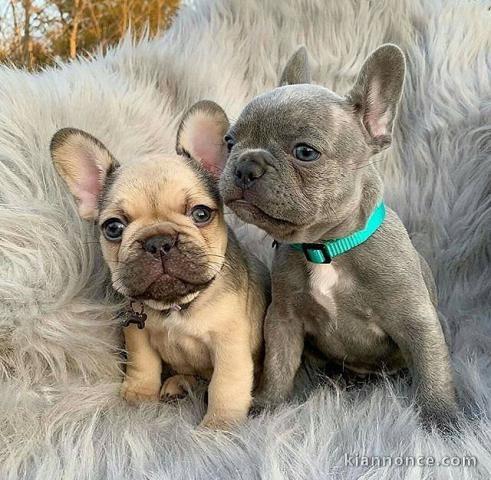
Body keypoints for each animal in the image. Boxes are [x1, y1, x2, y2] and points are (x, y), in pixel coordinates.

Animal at [51, 100, 270, 428]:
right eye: (113, 228)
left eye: (201, 214)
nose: (159, 242)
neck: (176, 307)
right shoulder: (137, 335)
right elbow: (143, 364)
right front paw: (139, 396)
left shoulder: (230, 347)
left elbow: (225, 385)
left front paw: (219, 426)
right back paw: (178, 384)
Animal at [214, 45, 458, 428]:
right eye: (229, 142)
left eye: (305, 152)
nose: (245, 165)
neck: (326, 246)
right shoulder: (283, 320)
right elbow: (278, 366)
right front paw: (267, 404)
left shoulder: (416, 320)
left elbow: (433, 370)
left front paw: (441, 419)